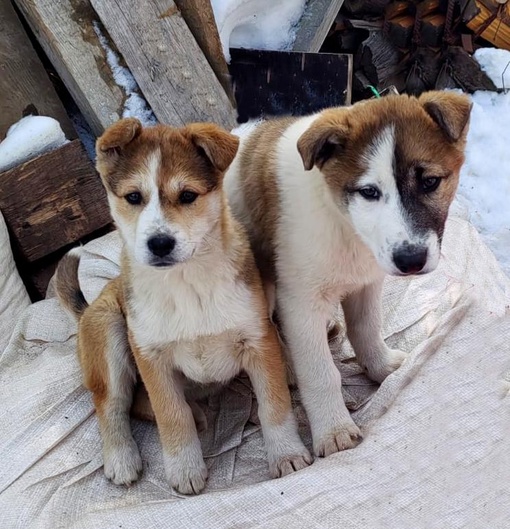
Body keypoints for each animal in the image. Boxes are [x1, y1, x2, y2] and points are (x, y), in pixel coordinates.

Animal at [55, 118, 310, 496]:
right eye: (133, 197)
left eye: (188, 195)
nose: (159, 244)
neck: (187, 283)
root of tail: (86, 310)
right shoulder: (152, 358)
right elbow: (172, 417)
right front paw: (185, 470)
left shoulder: (256, 340)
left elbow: (274, 405)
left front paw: (286, 454)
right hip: (110, 331)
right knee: (112, 405)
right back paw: (122, 459)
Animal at [225, 91, 472, 458]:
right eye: (369, 192)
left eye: (430, 182)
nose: (411, 260)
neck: (345, 225)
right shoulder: (300, 303)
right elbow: (321, 373)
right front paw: (334, 430)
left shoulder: (367, 283)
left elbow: (366, 329)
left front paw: (381, 367)